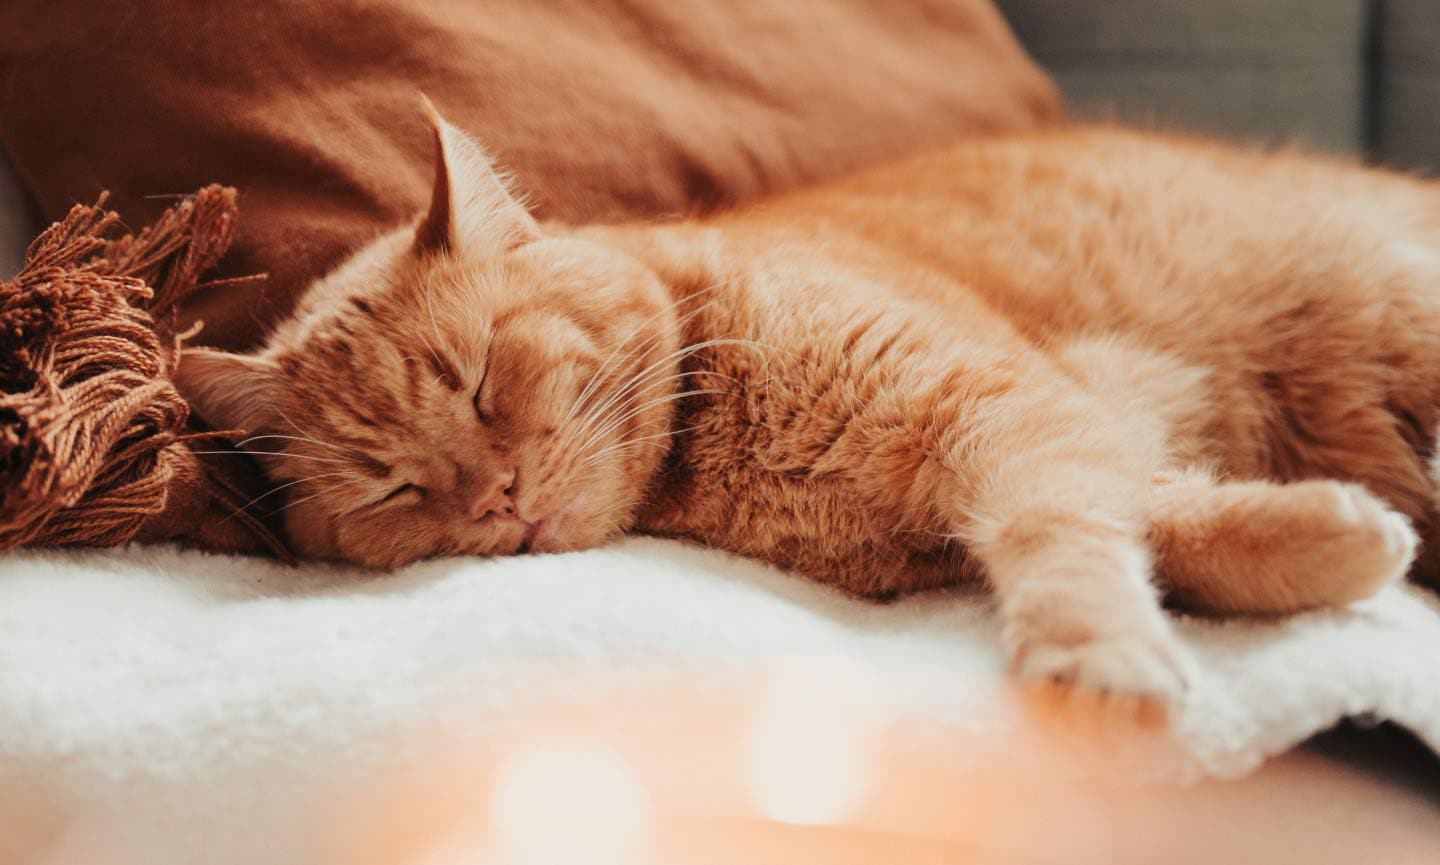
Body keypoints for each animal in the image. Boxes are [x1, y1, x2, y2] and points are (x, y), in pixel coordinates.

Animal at [177, 104, 1440, 705]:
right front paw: (1331, 543)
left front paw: (1097, 648)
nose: (495, 495)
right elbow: (1168, 526)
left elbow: (1060, 536)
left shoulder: (1007, 412)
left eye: (482, 379)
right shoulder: (1047, 441)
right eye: (395, 488)